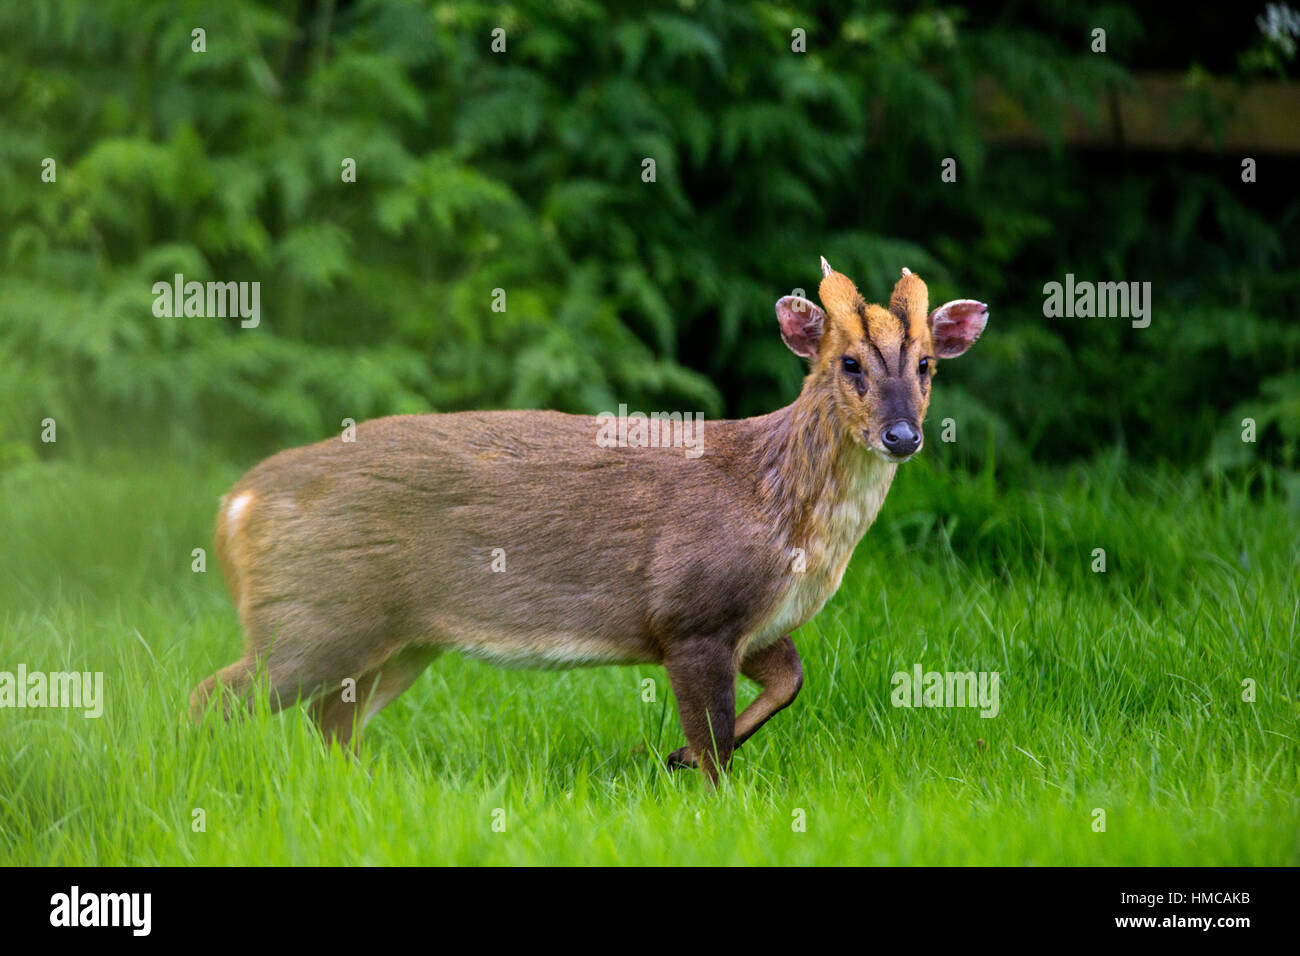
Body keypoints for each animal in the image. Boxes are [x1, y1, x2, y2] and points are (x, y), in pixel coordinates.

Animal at [190, 260, 988, 782]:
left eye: (925, 365)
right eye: (848, 363)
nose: (903, 435)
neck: (786, 515)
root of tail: (235, 505)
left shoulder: (754, 623)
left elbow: (789, 681)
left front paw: (668, 756)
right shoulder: (689, 611)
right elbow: (716, 738)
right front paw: (701, 782)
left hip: (400, 636)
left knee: (331, 722)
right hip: (313, 616)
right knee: (214, 696)